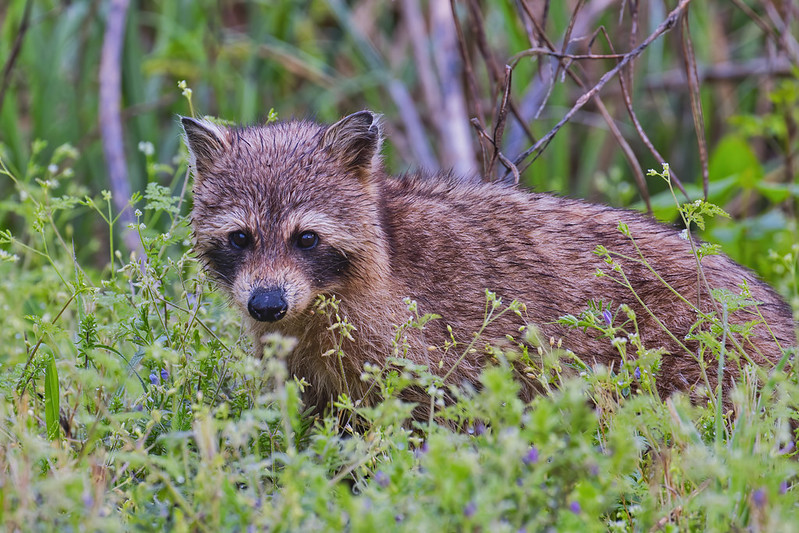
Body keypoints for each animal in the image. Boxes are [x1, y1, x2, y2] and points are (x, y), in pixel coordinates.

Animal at [180, 110, 792, 414]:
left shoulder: (428, 353)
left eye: (306, 238)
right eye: (240, 238)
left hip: (693, 362)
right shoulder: (302, 368)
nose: (265, 305)